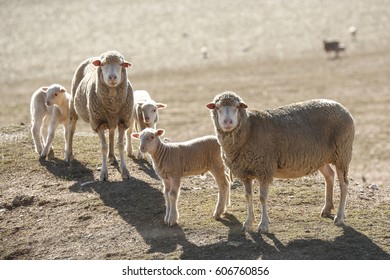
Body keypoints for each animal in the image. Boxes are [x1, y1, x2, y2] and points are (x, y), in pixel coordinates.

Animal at [66, 50, 135, 182]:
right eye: (102, 64)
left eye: (121, 64)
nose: (112, 77)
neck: (112, 104)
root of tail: (92, 58)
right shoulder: (98, 122)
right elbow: (103, 147)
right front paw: (103, 173)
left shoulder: (123, 121)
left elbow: (120, 145)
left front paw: (125, 171)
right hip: (73, 106)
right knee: (71, 130)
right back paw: (68, 154)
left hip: (112, 120)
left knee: (111, 133)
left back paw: (112, 156)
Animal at [206, 91, 354, 233]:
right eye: (218, 107)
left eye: (237, 107)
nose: (228, 122)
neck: (249, 129)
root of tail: (342, 107)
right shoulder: (245, 172)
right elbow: (248, 196)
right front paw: (248, 223)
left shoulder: (264, 169)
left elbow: (262, 197)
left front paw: (263, 225)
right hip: (321, 158)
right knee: (329, 176)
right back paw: (327, 209)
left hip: (342, 153)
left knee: (344, 184)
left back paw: (339, 217)